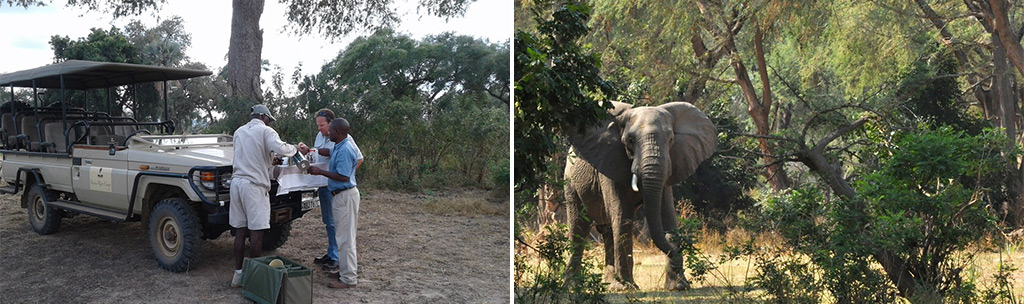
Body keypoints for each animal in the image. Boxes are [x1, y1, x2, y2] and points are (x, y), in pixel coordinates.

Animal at [565, 99, 716, 288]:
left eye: (671, 139)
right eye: (630, 141)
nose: (675, 247)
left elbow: (667, 214)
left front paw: (679, 287)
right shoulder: (609, 162)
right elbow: (622, 215)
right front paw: (626, 288)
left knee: (607, 231)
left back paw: (609, 284)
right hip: (570, 184)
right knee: (578, 227)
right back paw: (573, 285)